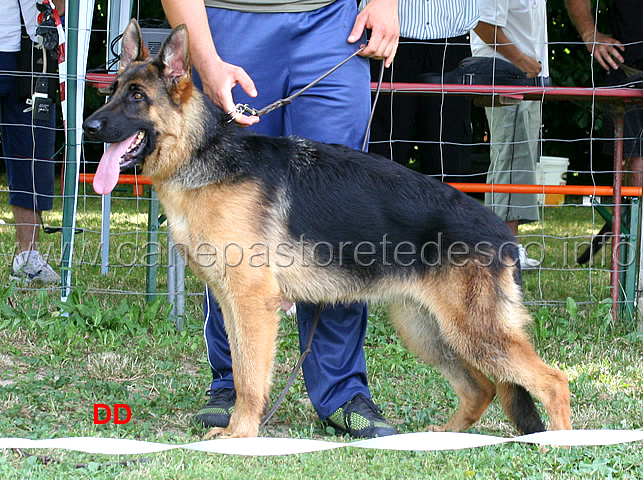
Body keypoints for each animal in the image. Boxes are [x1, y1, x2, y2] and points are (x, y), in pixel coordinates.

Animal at [83, 19, 572, 438]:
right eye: (113, 91)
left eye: (137, 97)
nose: (89, 126)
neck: (202, 155)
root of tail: (504, 235)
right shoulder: (231, 302)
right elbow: (239, 372)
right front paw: (236, 426)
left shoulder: (253, 304)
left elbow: (251, 379)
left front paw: (241, 435)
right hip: (429, 331)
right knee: (482, 388)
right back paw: (443, 437)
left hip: (474, 333)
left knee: (553, 380)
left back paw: (560, 443)